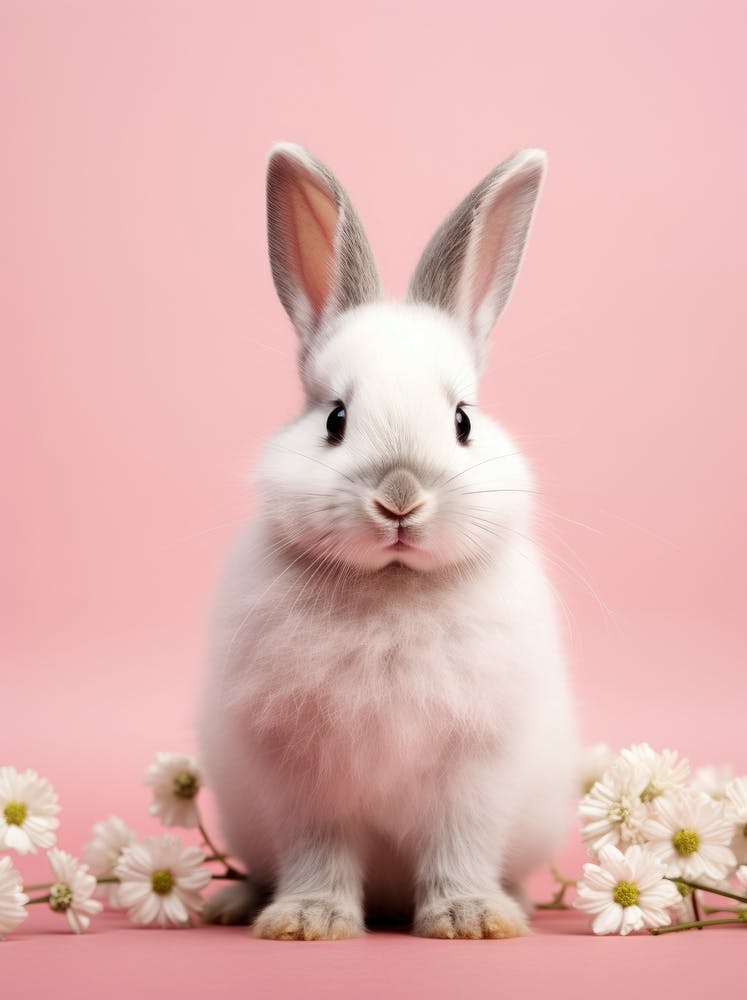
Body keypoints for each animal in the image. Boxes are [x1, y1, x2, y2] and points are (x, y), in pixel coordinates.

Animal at [199, 142, 578, 940]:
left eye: (462, 420)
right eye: (335, 419)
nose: (400, 499)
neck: (394, 587)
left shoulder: (474, 769)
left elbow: (459, 844)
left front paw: (472, 920)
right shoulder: (302, 775)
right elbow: (318, 850)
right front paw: (306, 922)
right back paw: (233, 903)